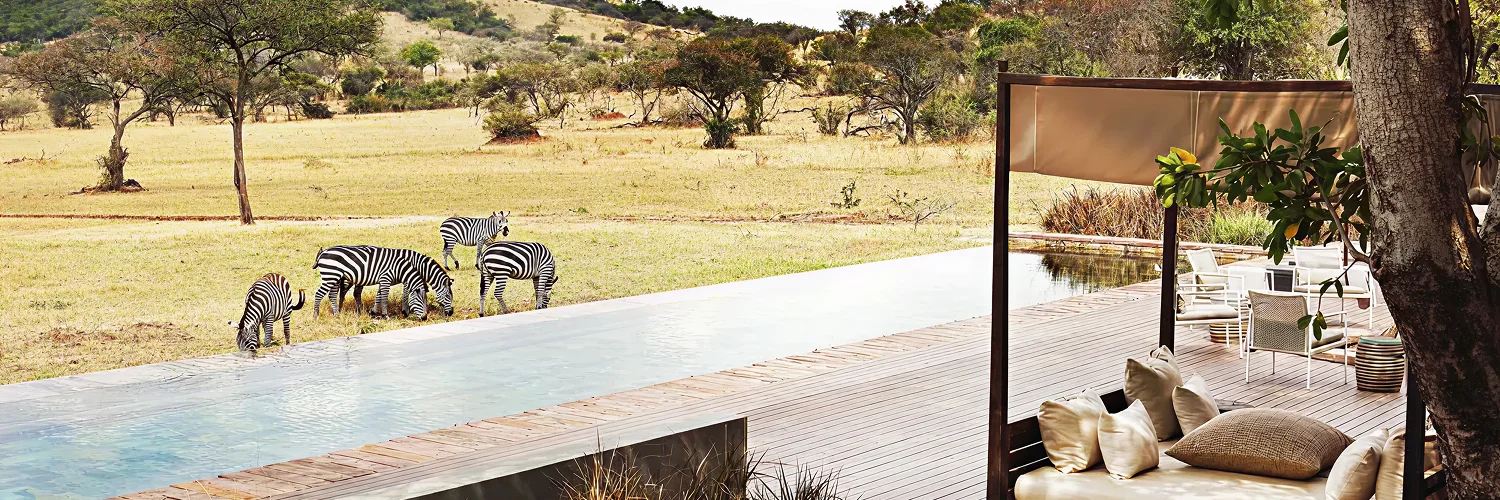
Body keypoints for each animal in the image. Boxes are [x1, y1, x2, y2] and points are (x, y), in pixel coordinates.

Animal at [313, 246, 454, 318]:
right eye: (448, 296)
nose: (451, 313)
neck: (414, 263)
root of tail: (324, 251)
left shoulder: (386, 279)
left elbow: (379, 295)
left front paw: (373, 311)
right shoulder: (402, 279)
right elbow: (403, 294)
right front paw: (405, 311)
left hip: (337, 278)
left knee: (336, 294)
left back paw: (339, 313)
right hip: (333, 276)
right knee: (321, 294)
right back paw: (317, 315)